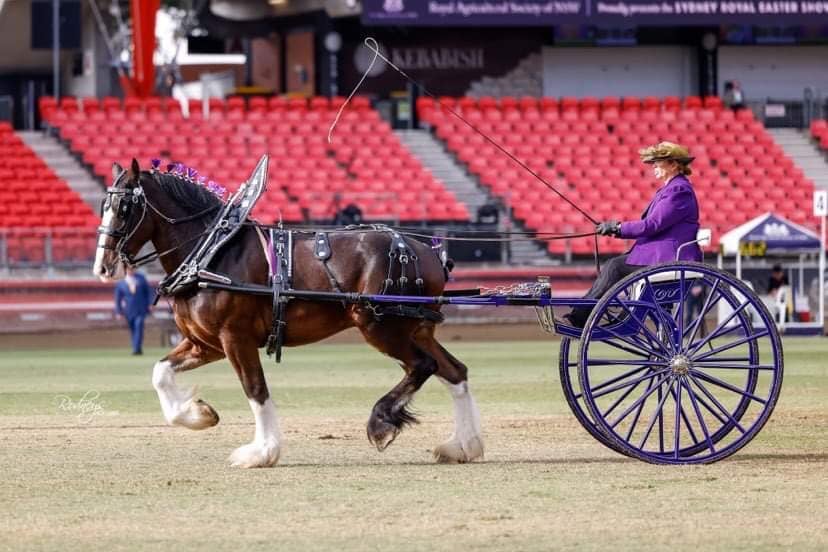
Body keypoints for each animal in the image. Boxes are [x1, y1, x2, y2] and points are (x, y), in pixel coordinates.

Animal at [93, 158, 482, 466]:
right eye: (103, 206)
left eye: (125, 208)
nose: (102, 266)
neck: (214, 251)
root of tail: (429, 251)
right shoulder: (206, 343)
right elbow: (160, 373)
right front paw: (198, 414)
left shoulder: (234, 337)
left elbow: (255, 389)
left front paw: (262, 452)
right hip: (414, 328)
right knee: (454, 371)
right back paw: (463, 445)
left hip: (381, 327)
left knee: (424, 366)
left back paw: (381, 423)